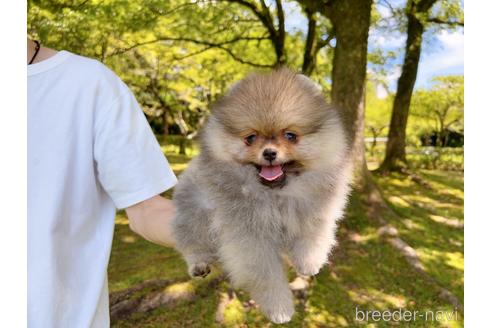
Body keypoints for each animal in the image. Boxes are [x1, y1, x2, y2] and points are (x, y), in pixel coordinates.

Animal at [171, 67, 352, 322]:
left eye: (290, 136)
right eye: (251, 138)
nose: (269, 153)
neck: (276, 195)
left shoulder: (314, 208)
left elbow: (313, 236)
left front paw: (309, 262)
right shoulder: (250, 238)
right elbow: (266, 275)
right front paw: (279, 308)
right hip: (194, 207)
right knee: (191, 238)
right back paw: (198, 263)